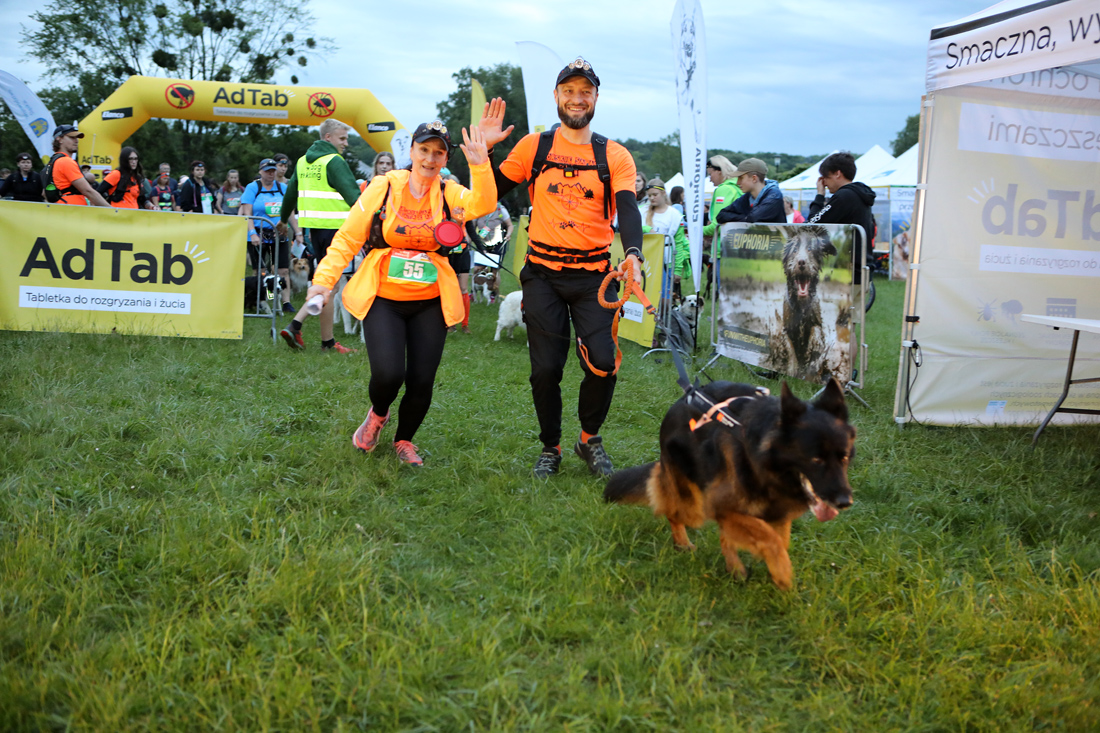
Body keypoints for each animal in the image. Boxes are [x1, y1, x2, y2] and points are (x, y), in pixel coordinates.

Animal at [604, 378, 855, 590]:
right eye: (816, 459)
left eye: (843, 457)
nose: (845, 502)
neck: (762, 455)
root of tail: (685, 396)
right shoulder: (722, 506)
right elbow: (768, 538)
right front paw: (782, 572)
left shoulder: (778, 513)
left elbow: (778, 540)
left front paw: (773, 568)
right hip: (693, 506)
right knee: (673, 512)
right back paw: (683, 544)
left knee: (724, 536)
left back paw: (735, 569)